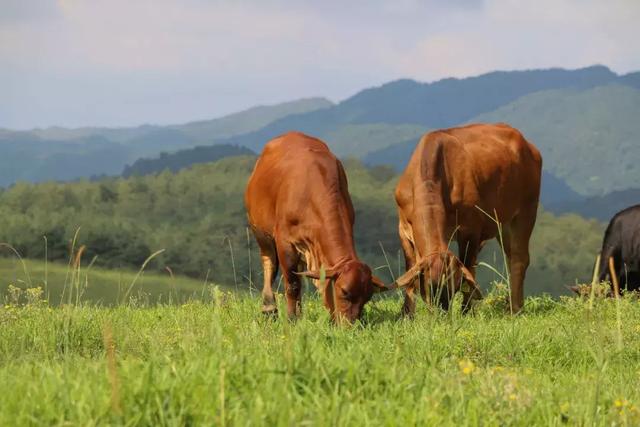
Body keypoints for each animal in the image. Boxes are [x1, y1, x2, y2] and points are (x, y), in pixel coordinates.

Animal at [245, 132, 384, 322]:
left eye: (367, 297)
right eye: (344, 291)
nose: (350, 325)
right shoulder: (284, 242)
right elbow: (292, 284)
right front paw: (291, 319)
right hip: (260, 231)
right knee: (269, 262)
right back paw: (269, 307)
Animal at [392, 123, 544, 314]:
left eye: (454, 286)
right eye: (428, 287)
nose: (442, 313)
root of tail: (527, 144)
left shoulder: (470, 229)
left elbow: (469, 267)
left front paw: (466, 312)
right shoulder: (403, 228)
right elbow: (410, 268)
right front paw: (407, 313)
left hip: (526, 210)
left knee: (519, 259)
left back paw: (515, 309)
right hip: (503, 225)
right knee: (510, 258)